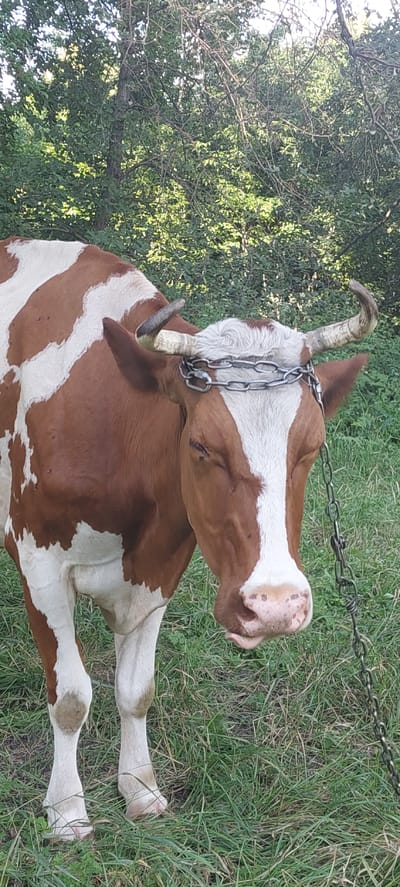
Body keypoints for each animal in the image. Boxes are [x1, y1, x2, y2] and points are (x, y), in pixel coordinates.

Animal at [0, 237, 377, 840]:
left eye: (313, 444)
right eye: (201, 445)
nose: (275, 606)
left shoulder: (160, 564)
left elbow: (136, 690)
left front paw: (140, 788)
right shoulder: (40, 564)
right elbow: (71, 697)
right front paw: (67, 811)